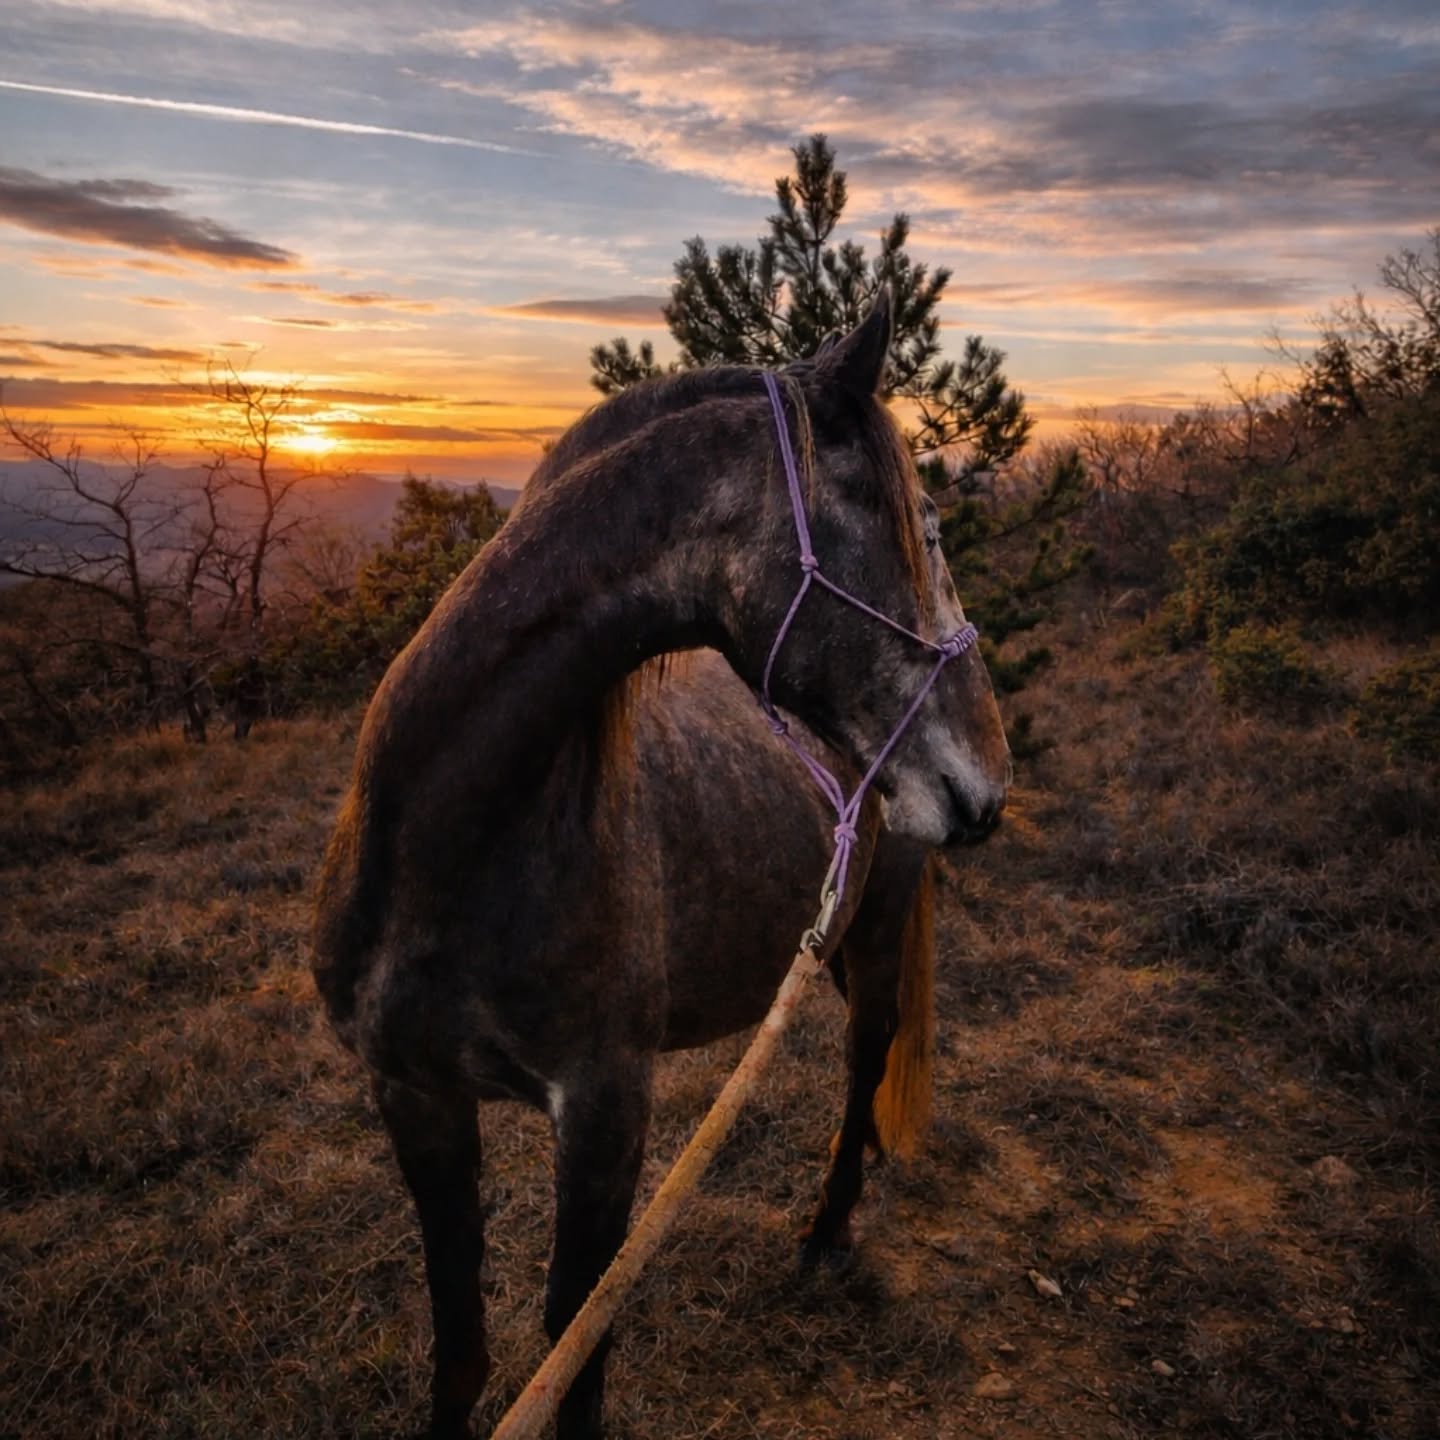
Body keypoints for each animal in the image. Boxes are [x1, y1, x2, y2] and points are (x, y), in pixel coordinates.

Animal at [311, 290, 1011, 1439]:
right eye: (926, 527)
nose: (991, 781)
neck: (449, 856)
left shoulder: (603, 1119)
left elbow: (574, 1346)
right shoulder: (414, 1097)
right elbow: (460, 1342)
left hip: (872, 936)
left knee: (864, 1060)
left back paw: (828, 1231)